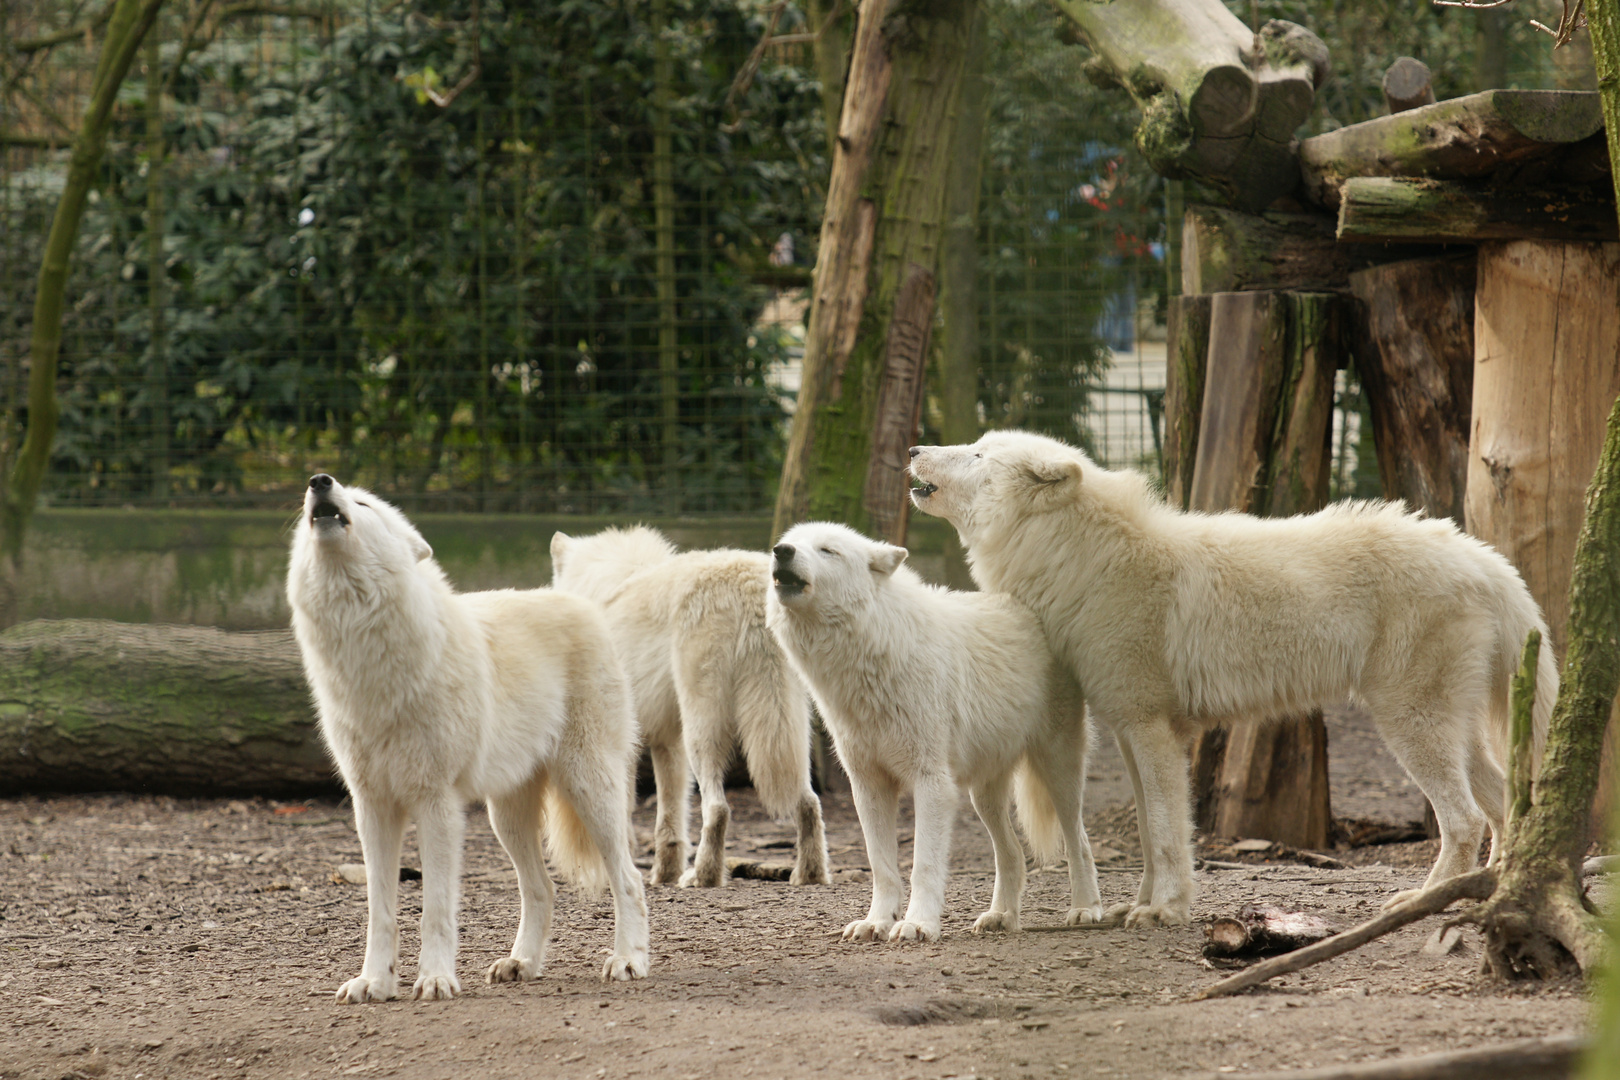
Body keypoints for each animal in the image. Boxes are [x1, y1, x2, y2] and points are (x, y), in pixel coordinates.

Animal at [288, 476, 648, 1003]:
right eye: (309, 505)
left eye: (363, 503)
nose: (319, 482)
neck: (366, 661)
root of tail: (583, 605)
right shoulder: (371, 808)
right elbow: (381, 913)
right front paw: (374, 982)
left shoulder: (436, 803)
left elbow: (435, 909)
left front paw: (435, 978)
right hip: (506, 818)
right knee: (542, 888)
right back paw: (522, 963)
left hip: (589, 790)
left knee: (630, 878)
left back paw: (629, 959)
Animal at [550, 527, 829, 893]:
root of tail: (749, 583)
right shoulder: (667, 741)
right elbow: (670, 819)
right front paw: (664, 874)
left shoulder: (623, 744)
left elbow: (624, 816)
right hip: (790, 728)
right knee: (809, 801)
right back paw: (809, 874)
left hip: (703, 727)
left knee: (718, 808)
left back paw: (703, 875)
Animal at [764, 518, 1108, 939]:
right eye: (790, 542)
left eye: (828, 550)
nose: (781, 551)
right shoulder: (868, 786)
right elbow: (881, 866)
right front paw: (876, 921)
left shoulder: (932, 782)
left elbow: (923, 865)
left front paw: (917, 924)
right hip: (982, 794)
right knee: (1012, 853)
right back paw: (1002, 916)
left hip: (1058, 772)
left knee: (1080, 842)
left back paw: (1086, 908)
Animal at [913, 430, 1555, 932]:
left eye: (976, 454)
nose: (916, 449)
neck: (1084, 561)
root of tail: (1486, 559)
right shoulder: (1129, 729)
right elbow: (1149, 831)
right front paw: (1138, 905)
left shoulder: (1150, 728)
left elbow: (1167, 832)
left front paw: (1166, 910)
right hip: (1449, 730)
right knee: (1502, 805)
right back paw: (1490, 892)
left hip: (1408, 725)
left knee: (1465, 820)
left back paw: (1424, 902)